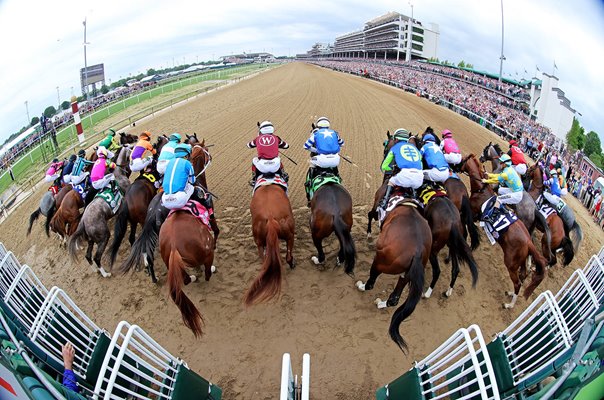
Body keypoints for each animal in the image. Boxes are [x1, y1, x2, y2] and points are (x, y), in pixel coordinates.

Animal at [356, 202, 432, 352]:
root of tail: (418, 251)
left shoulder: (377, 209)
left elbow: (370, 214)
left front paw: (368, 234)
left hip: (380, 262)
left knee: (371, 283)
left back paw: (361, 286)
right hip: (405, 275)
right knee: (394, 299)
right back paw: (380, 303)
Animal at [460, 155, 548, 308]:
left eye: (464, 160)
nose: (457, 164)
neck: (481, 190)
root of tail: (528, 242)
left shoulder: (472, 213)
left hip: (511, 263)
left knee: (517, 282)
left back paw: (509, 305)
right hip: (521, 261)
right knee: (522, 277)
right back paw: (511, 293)